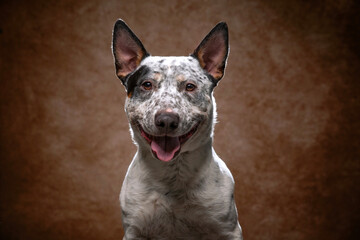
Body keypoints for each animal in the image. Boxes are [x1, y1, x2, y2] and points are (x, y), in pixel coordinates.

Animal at [111, 19, 243, 240]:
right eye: (147, 84)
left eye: (190, 86)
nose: (166, 120)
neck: (172, 176)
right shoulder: (134, 231)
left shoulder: (228, 230)